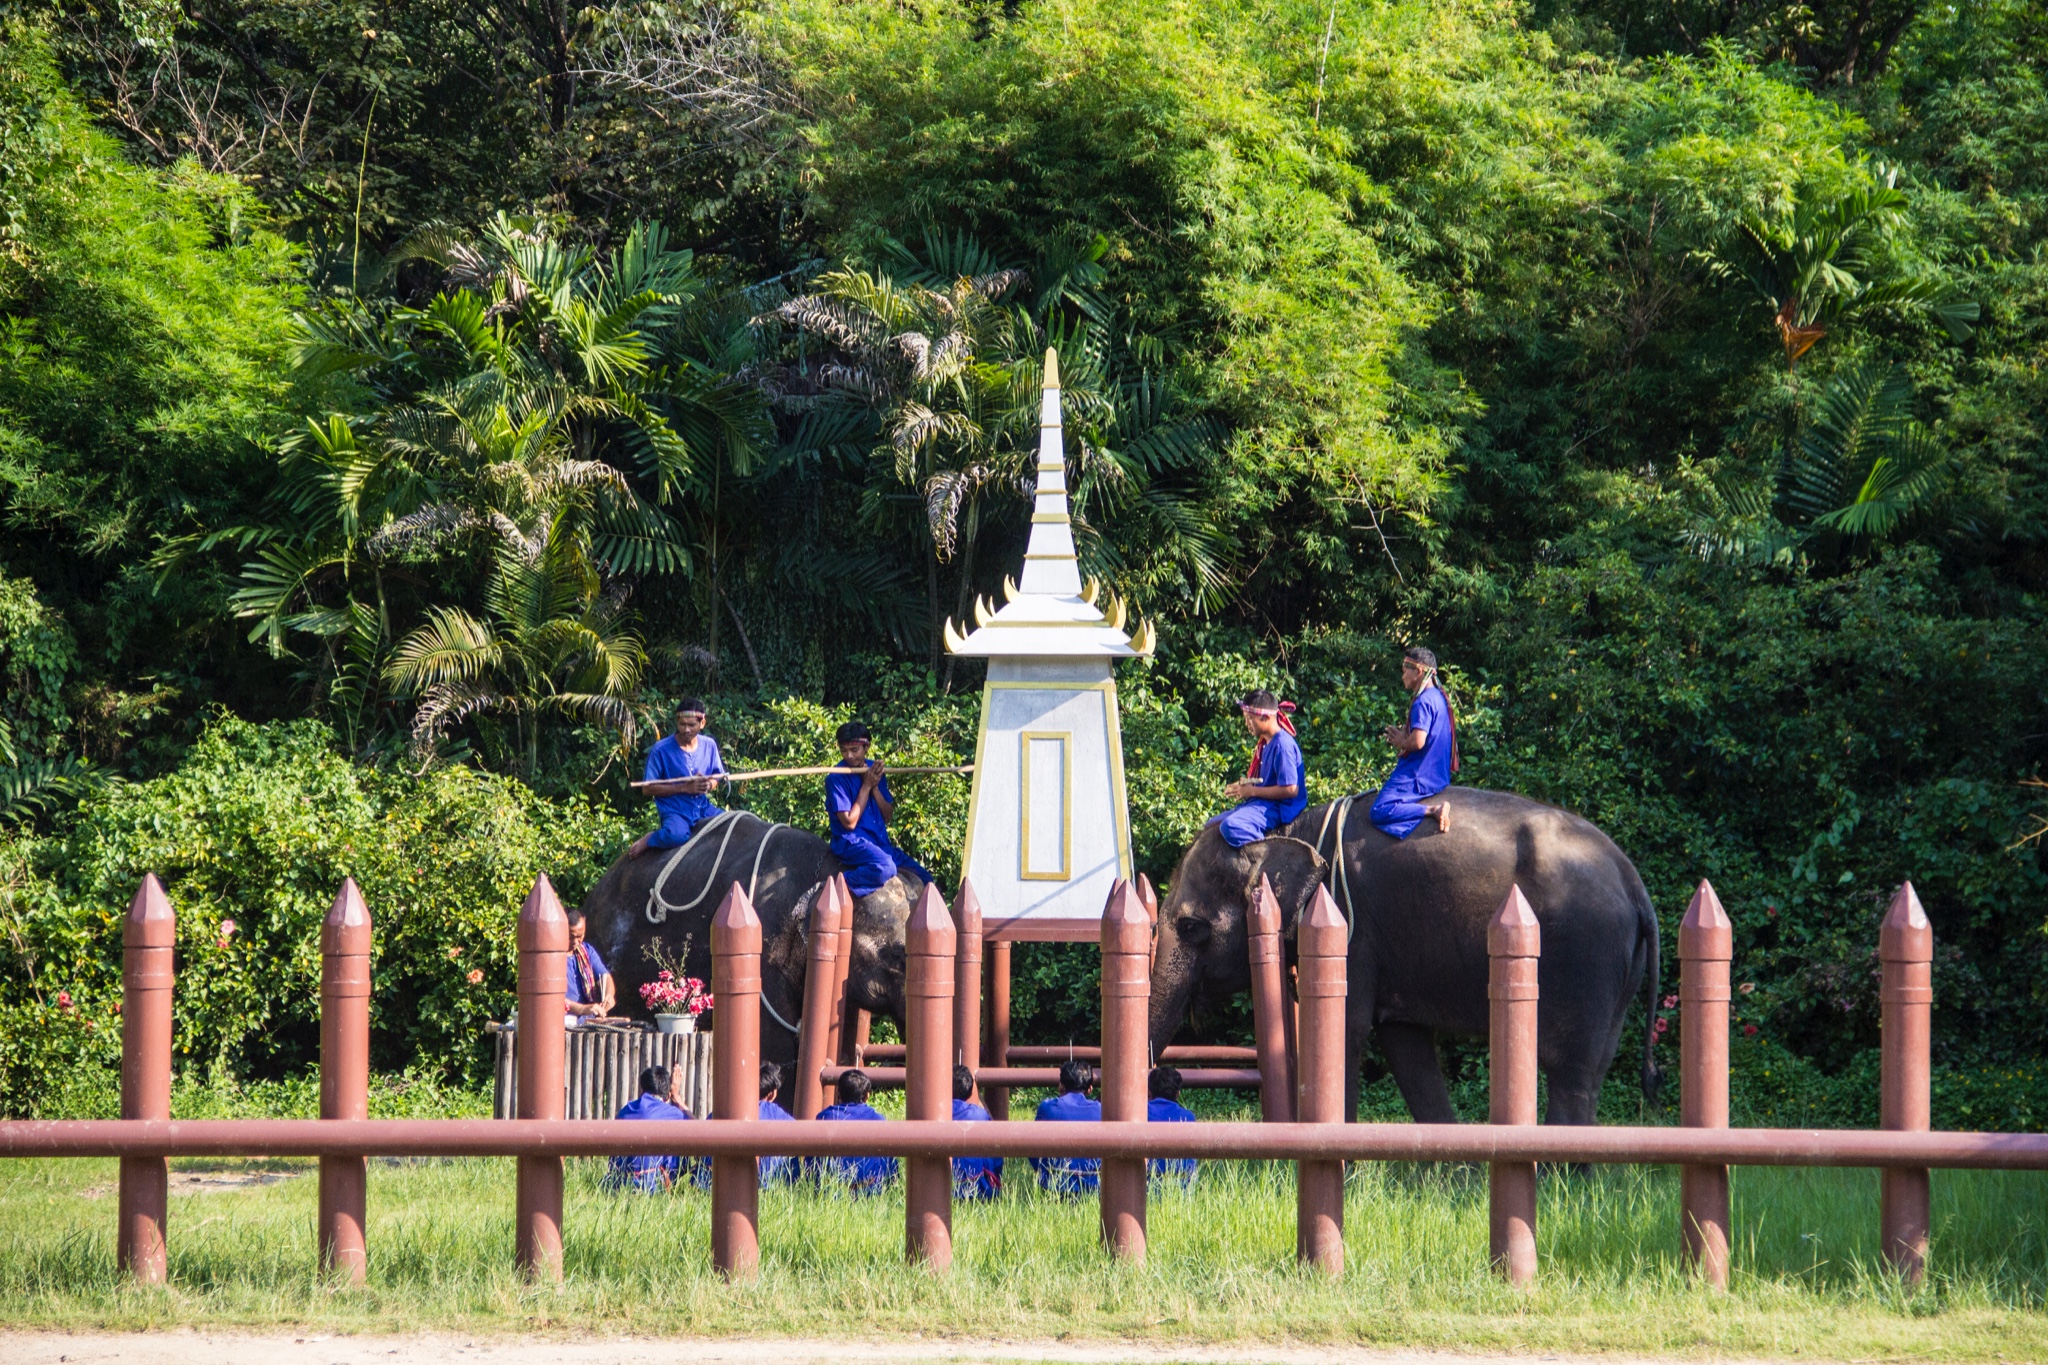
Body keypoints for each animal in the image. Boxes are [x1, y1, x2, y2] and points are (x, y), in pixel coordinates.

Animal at [1155, 785, 1662, 1129]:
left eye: (1191, 926)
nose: (1169, 1077)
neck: (1291, 832)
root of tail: (1633, 881)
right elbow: (1405, 1044)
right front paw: (1455, 1178)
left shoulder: (1351, 928)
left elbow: (1349, 1030)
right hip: (1618, 970)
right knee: (1594, 1068)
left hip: (1587, 953)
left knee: (1569, 1069)